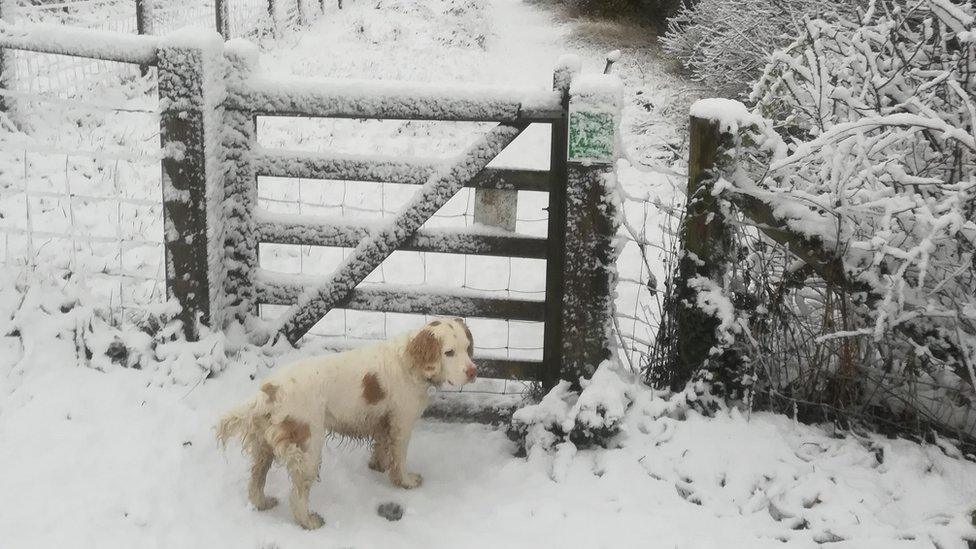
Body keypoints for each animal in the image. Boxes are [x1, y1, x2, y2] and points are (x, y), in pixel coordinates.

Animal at [220, 318, 480, 528]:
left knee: (256, 480)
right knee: (297, 494)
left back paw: (263, 503)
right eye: (449, 352)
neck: (408, 361)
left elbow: (382, 449)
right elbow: (399, 460)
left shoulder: (382, 422)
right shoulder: (402, 423)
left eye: (467, 348)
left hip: (264, 447)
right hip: (308, 448)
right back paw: (309, 522)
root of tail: (270, 391)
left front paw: (378, 465)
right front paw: (406, 482)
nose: (473, 371)